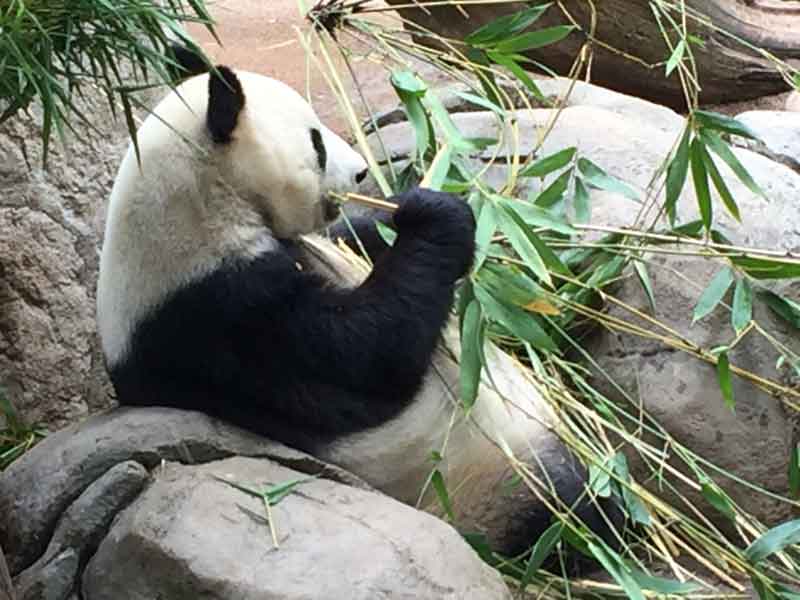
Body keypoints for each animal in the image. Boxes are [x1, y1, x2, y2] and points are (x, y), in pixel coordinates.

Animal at [97, 55, 616, 556]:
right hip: (486, 484)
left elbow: (360, 240)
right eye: (316, 142)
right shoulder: (220, 313)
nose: (363, 173)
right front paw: (439, 214)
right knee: (567, 506)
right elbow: (371, 355)